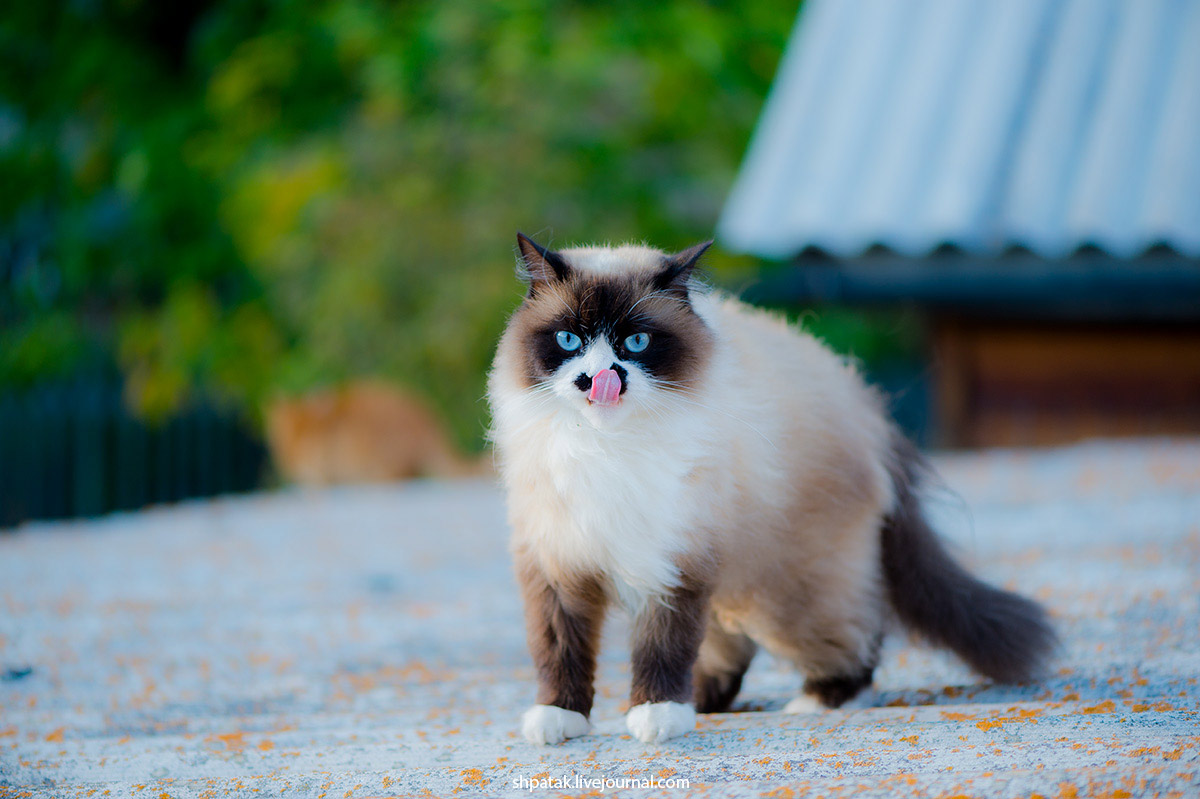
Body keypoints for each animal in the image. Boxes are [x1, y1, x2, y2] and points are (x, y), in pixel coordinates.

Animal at [482, 233, 1056, 743]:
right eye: (570, 340)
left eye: (636, 342)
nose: (601, 377)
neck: (605, 450)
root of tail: (869, 409)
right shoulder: (557, 564)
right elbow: (559, 651)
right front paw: (560, 720)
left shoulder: (672, 564)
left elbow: (663, 647)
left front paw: (656, 715)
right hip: (738, 584)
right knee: (732, 649)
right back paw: (705, 702)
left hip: (793, 595)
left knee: (859, 637)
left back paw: (817, 702)